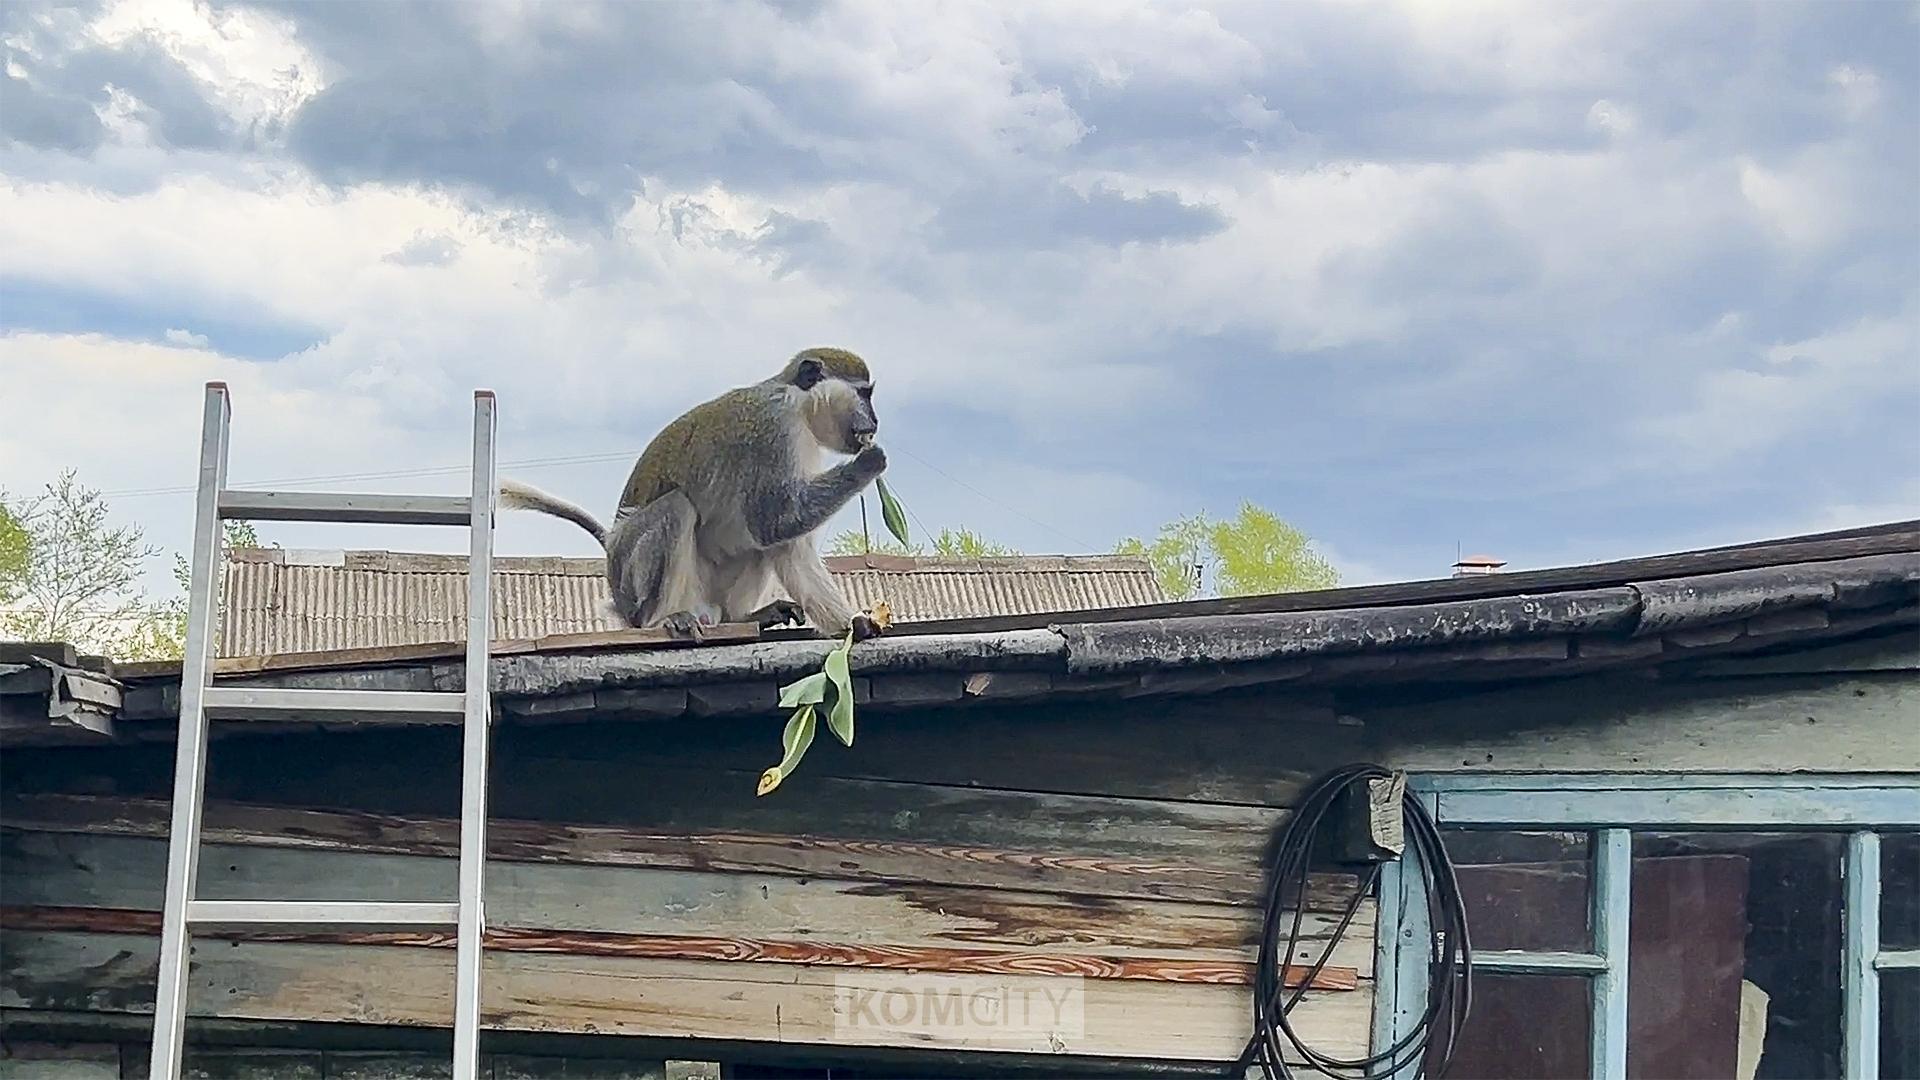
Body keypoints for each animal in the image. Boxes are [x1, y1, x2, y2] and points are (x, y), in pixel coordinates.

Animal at [495, 345, 883, 638]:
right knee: (677, 508)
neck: (798, 405)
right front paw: (869, 463)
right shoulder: (773, 434)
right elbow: (775, 521)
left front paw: (854, 625)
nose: (875, 422)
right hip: (633, 580)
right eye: (863, 394)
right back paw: (662, 620)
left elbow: (787, 543)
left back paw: (740, 618)